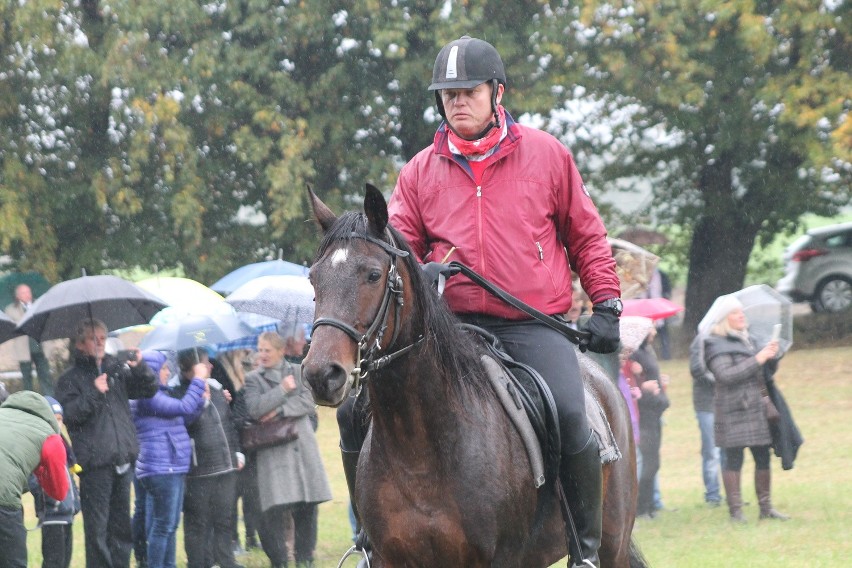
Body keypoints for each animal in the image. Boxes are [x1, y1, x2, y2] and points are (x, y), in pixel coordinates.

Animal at [302, 186, 644, 568]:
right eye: (314, 277)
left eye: (373, 274)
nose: (322, 373)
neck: (421, 450)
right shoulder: (391, 558)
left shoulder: (498, 558)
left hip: (612, 545)